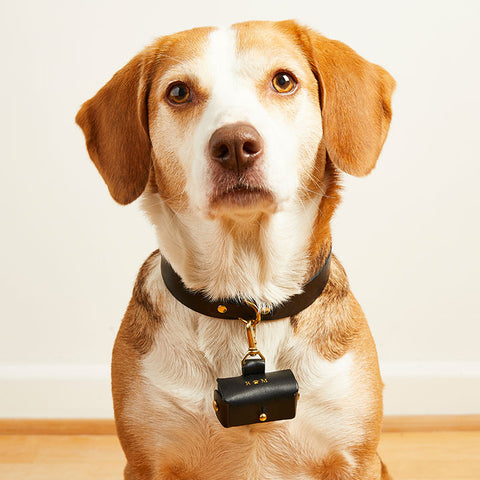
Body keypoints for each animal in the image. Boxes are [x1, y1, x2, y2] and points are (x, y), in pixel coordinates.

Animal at [77, 19, 396, 480]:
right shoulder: (146, 462)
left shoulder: (357, 459)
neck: (248, 296)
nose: (234, 146)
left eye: (283, 81)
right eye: (178, 92)